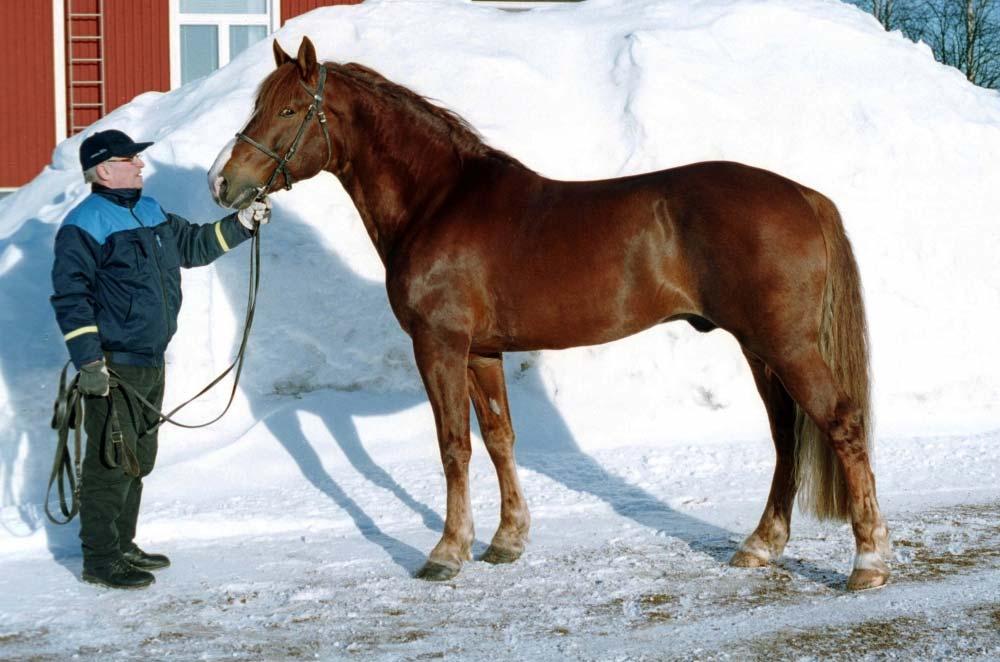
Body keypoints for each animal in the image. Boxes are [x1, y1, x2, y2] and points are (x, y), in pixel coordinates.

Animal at [209, 37, 892, 592]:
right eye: (258, 105)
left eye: (289, 110)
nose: (223, 182)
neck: (438, 202)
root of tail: (803, 195)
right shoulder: (483, 351)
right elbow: (498, 438)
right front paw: (506, 541)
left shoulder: (439, 344)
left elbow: (453, 445)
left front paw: (446, 553)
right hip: (760, 349)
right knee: (786, 436)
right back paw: (760, 547)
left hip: (786, 346)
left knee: (841, 423)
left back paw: (868, 563)